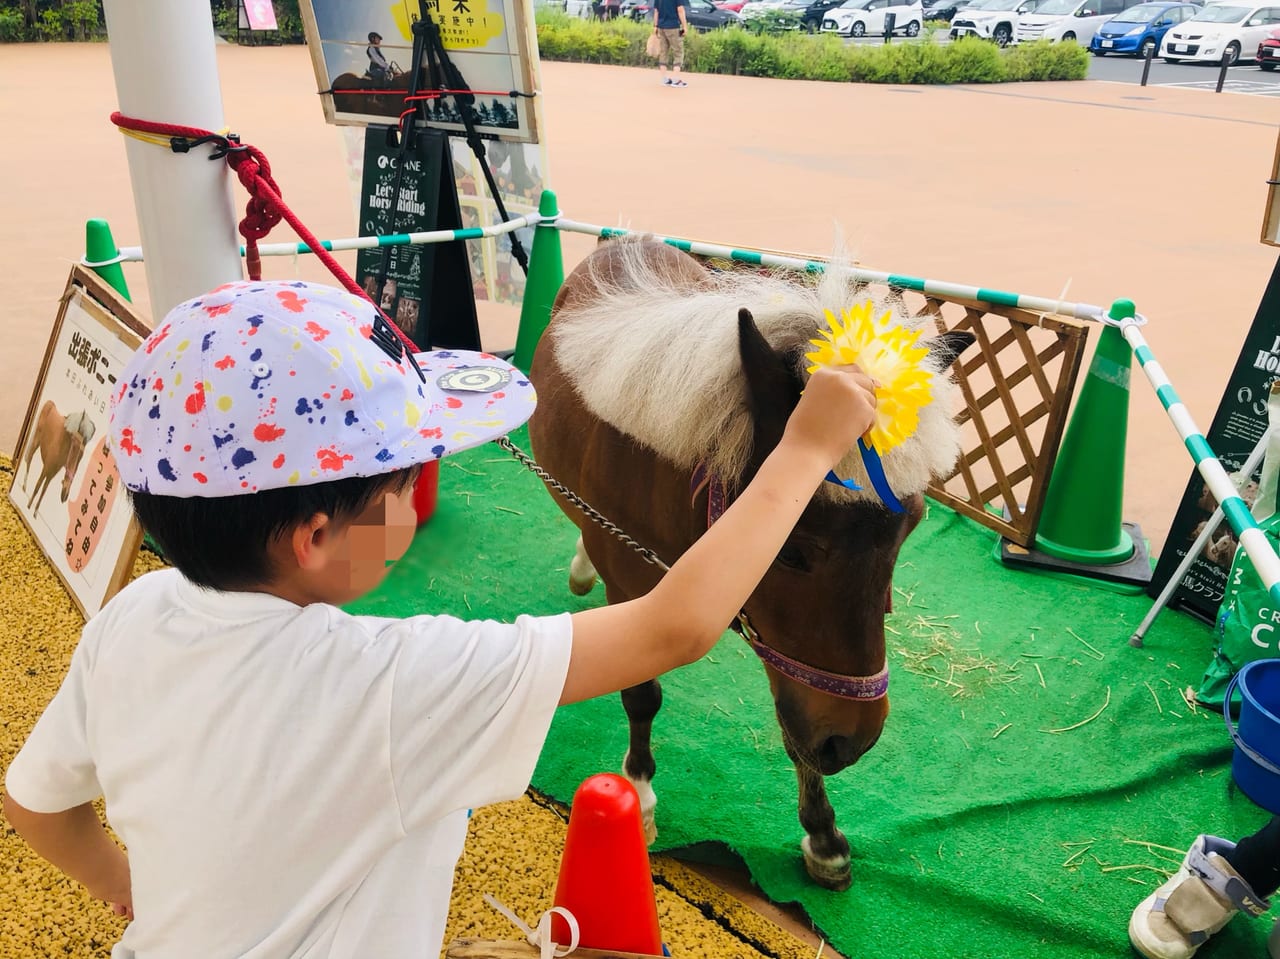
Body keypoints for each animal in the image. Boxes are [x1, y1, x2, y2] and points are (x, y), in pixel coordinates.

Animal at [527, 239, 967, 891]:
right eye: (789, 548)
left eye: (910, 527)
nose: (853, 742)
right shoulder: (636, 592)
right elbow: (642, 695)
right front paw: (640, 796)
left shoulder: (773, 638)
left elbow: (794, 727)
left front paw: (823, 835)